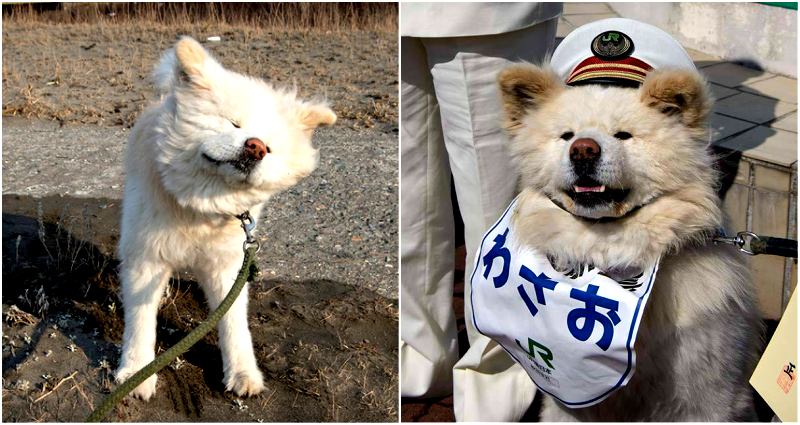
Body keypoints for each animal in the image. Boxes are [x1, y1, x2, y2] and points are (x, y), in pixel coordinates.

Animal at [115, 35, 334, 398]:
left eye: (270, 146)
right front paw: (137, 372)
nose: (256, 147)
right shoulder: (146, 259)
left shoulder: (229, 264)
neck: (200, 208)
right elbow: (141, 320)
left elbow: (233, 323)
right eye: (233, 123)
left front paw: (243, 372)